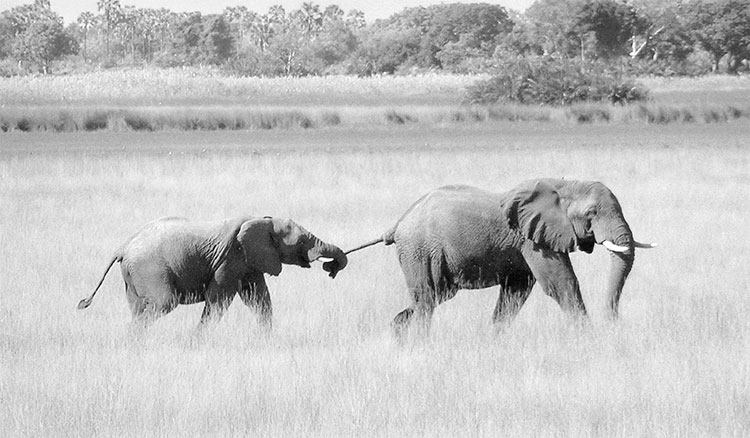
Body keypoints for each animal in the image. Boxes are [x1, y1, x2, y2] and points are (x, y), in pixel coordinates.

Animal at [78, 216, 348, 328]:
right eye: (301, 241)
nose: (330, 267)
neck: (260, 221)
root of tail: (122, 247)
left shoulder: (249, 262)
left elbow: (259, 299)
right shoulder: (229, 260)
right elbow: (218, 301)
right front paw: (195, 343)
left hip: (133, 276)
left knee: (137, 309)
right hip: (150, 269)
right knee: (163, 303)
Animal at [348, 180, 656, 338]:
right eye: (592, 213)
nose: (613, 323)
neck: (564, 184)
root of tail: (397, 224)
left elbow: (517, 289)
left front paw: (494, 339)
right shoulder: (534, 239)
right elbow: (560, 282)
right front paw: (586, 336)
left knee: (428, 299)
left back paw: (398, 334)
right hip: (420, 251)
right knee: (426, 300)